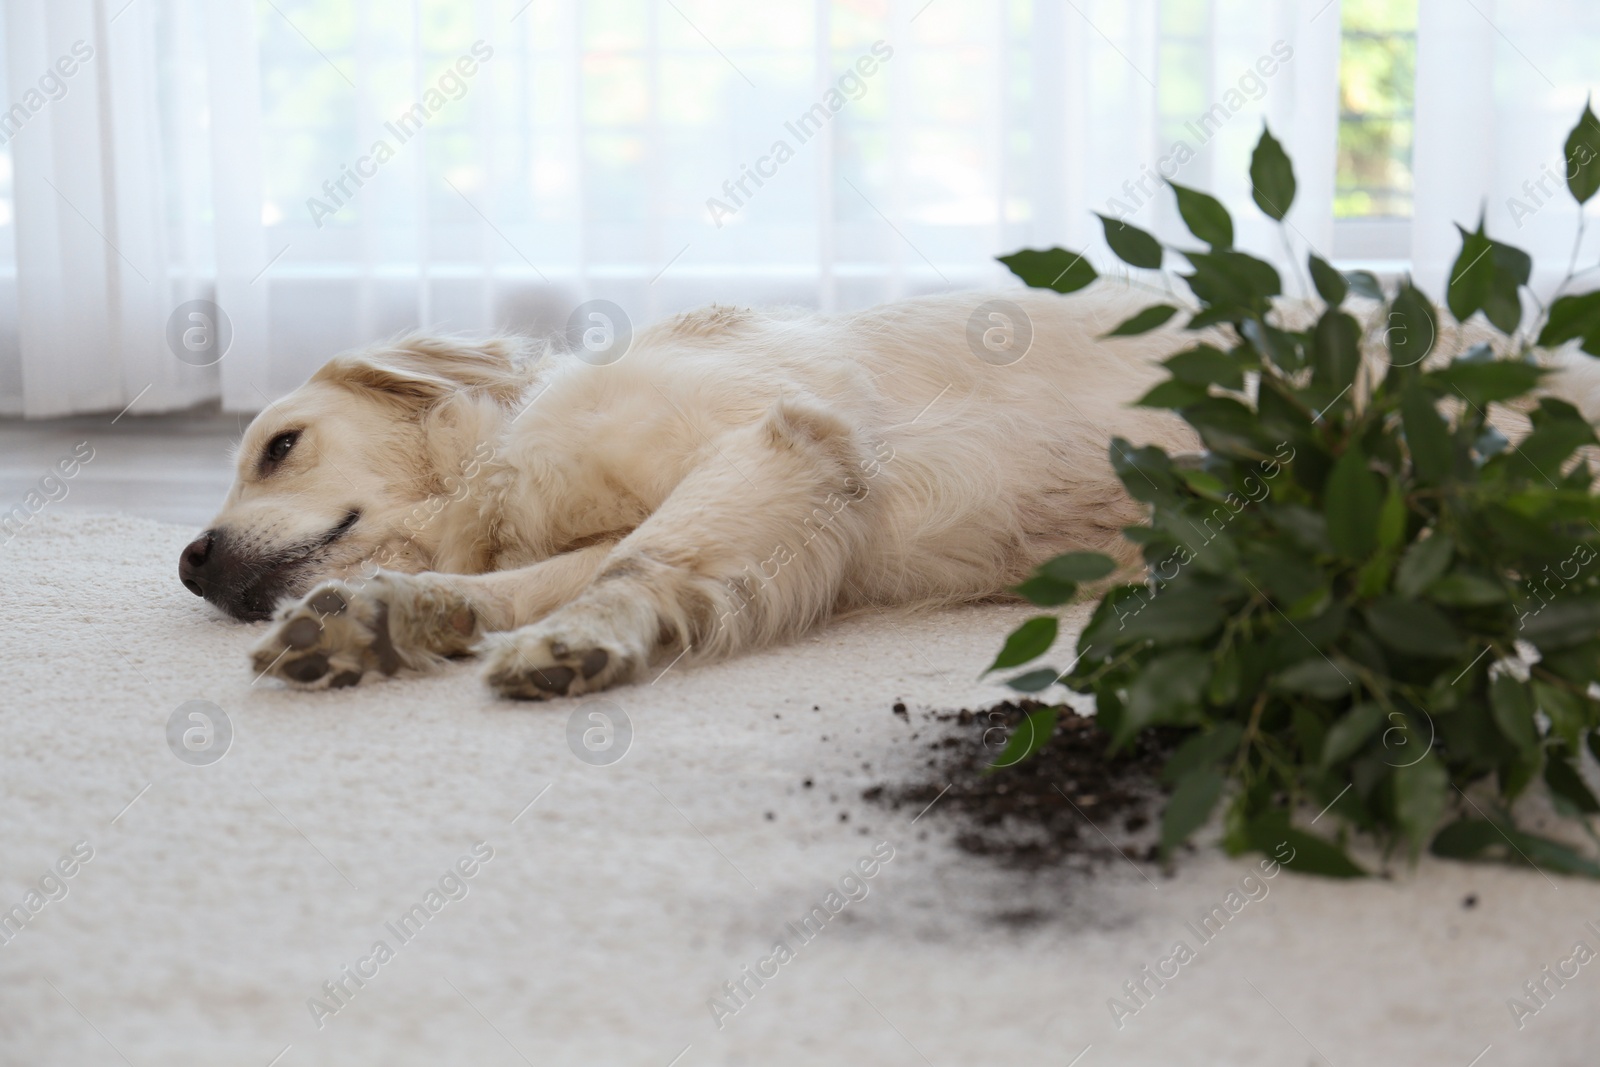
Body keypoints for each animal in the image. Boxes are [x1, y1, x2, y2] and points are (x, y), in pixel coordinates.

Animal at [178, 286, 1203, 700]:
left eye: (280, 447)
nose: (190, 561)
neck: (501, 457)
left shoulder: (782, 442)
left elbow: (637, 562)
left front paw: (579, 637)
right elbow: (526, 581)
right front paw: (388, 616)